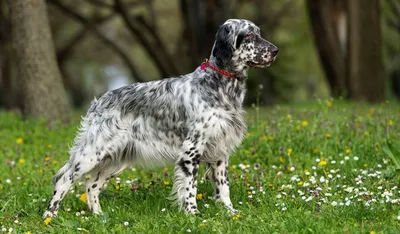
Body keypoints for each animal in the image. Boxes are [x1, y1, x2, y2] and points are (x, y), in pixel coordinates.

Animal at [42, 18, 276, 218]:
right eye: (249, 35)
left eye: (259, 33)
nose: (275, 51)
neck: (218, 84)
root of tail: (99, 101)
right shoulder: (191, 151)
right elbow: (190, 188)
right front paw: (193, 214)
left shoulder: (220, 152)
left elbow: (223, 187)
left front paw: (230, 212)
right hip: (92, 153)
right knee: (64, 179)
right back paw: (49, 215)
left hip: (116, 159)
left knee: (91, 184)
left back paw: (98, 215)